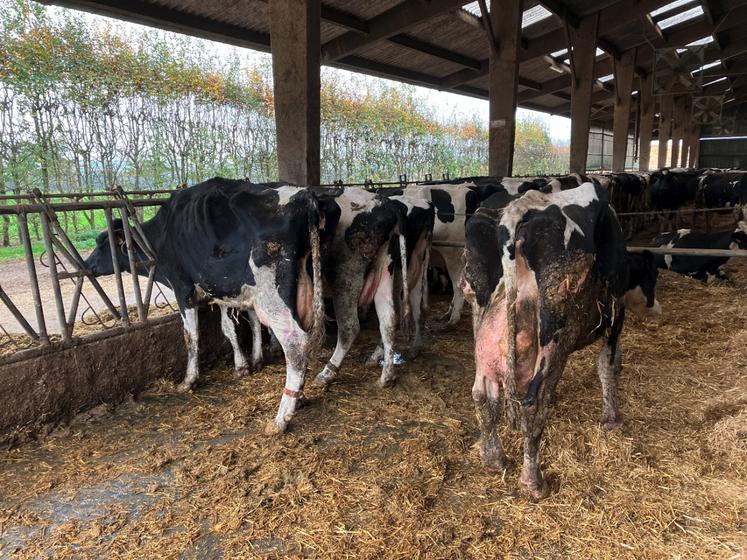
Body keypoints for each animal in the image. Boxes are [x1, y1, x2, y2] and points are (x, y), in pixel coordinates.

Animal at [84, 177, 336, 430]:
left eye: (102, 244)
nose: (86, 265)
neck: (160, 236)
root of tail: (306, 196)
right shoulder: (220, 289)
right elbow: (230, 329)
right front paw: (243, 366)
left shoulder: (182, 286)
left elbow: (191, 334)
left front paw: (189, 380)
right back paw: (299, 397)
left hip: (273, 293)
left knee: (295, 343)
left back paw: (281, 417)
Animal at [462, 184, 660, 498]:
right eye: (653, 275)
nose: (656, 307)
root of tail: (516, 209)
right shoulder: (615, 312)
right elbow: (607, 365)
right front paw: (612, 419)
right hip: (552, 330)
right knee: (531, 403)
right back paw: (533, 482)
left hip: (482, 319)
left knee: (483, 394)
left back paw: (494, 460)